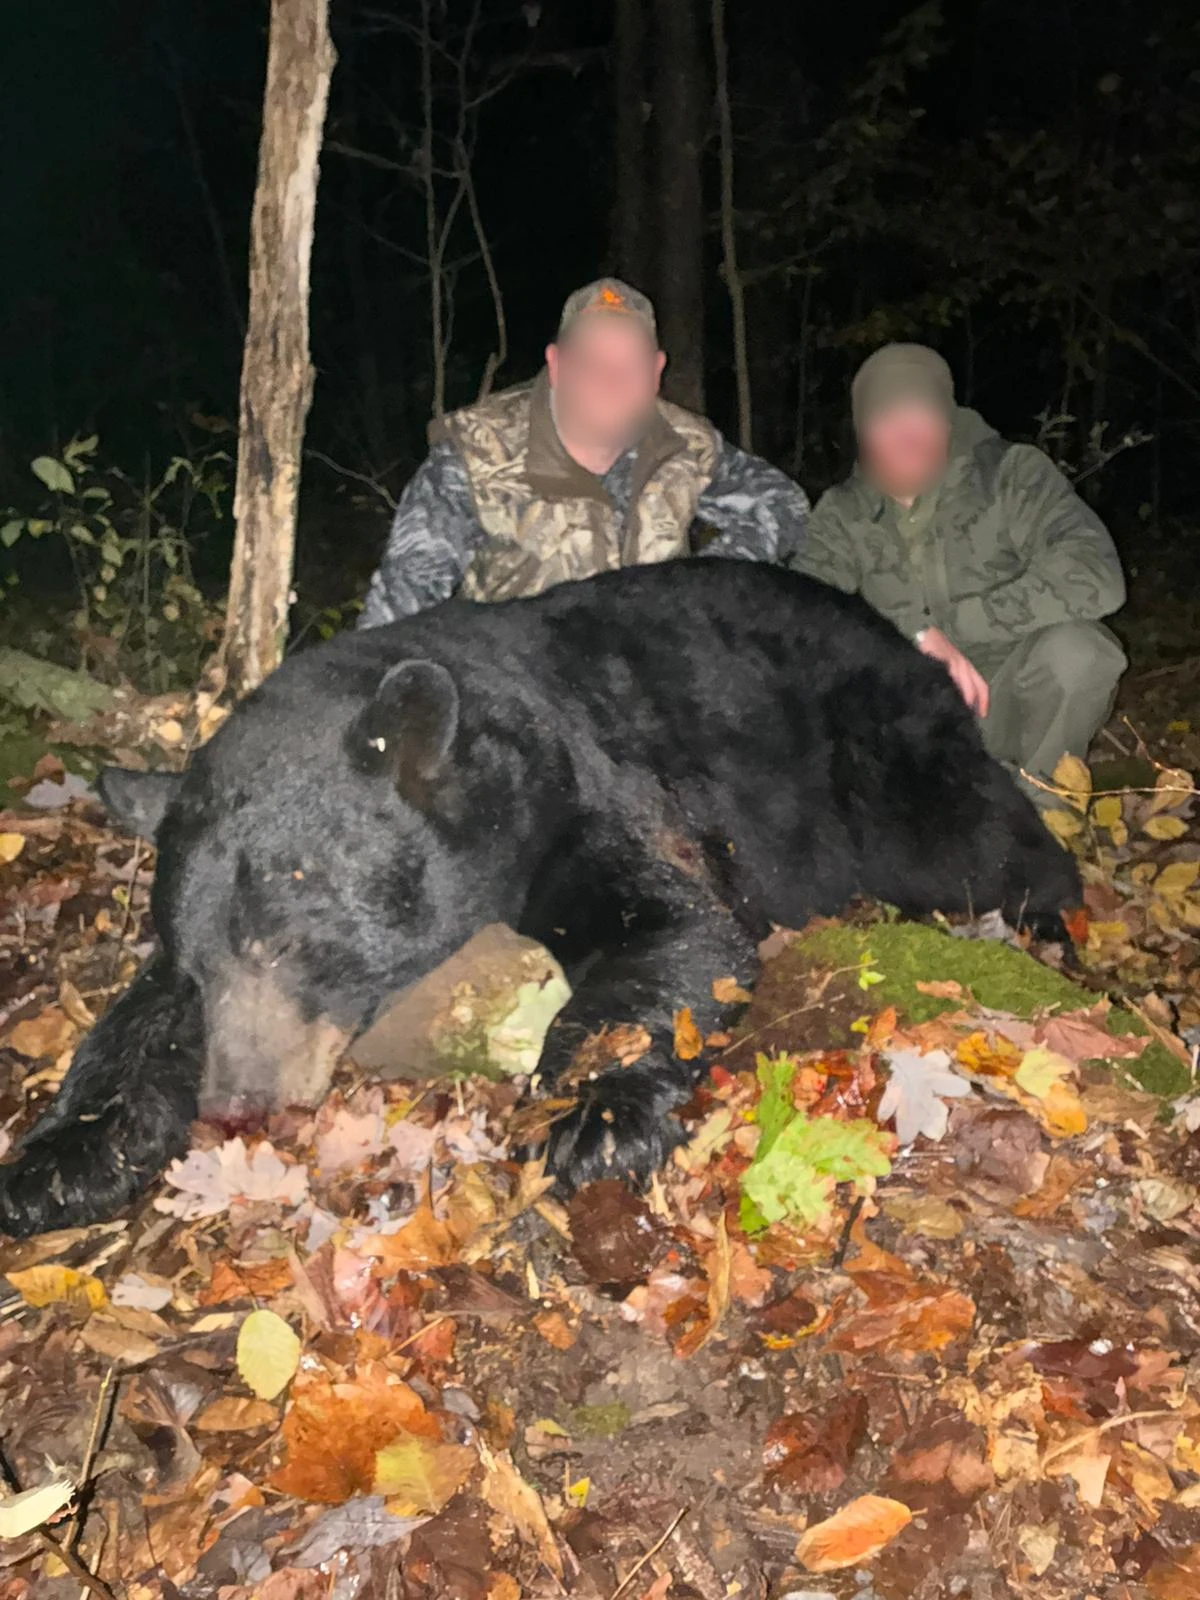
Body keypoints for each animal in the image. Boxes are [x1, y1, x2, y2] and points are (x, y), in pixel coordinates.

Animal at [0, 560, 1080, 1238]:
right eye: (200, 962)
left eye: (287, 940)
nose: (236, 1101)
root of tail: (904, 639)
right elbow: (132, 1022)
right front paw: (57, 1157)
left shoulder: (586, 787)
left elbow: (678, 927)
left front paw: (591, 1115)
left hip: (884, 753)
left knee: (983, 838)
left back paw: (1050, 926)